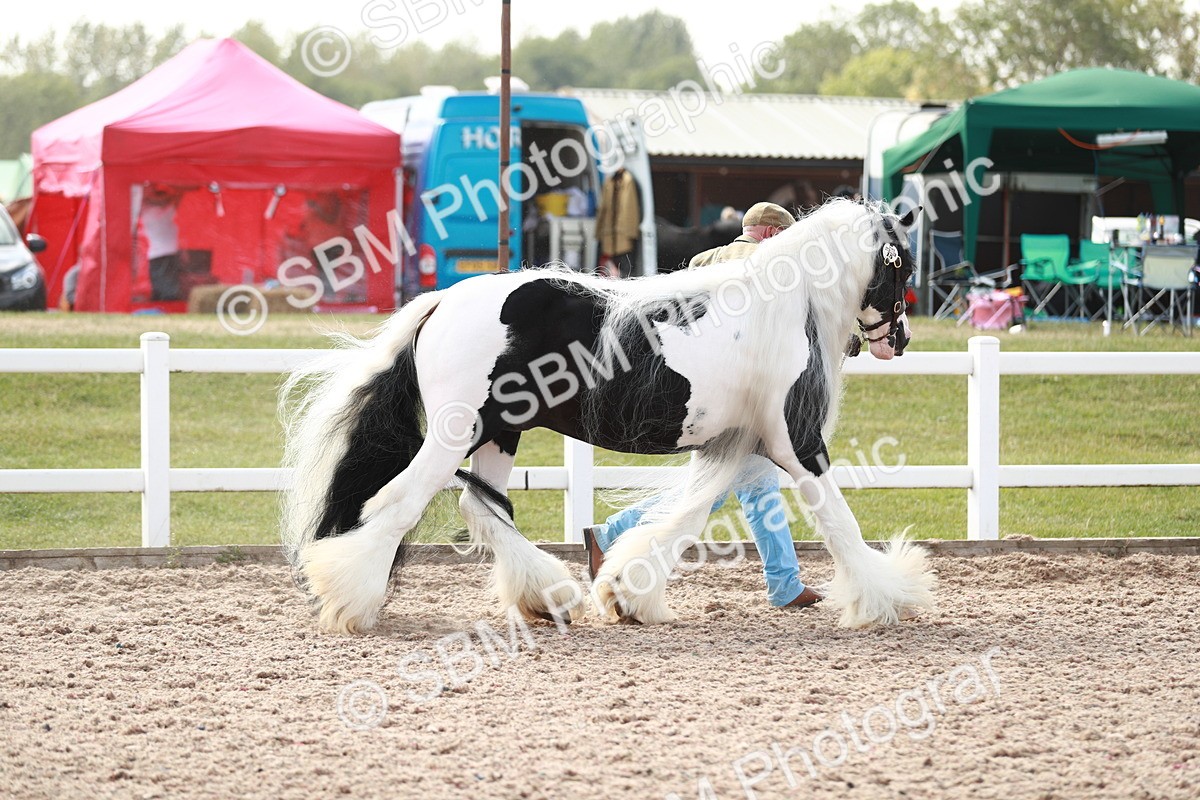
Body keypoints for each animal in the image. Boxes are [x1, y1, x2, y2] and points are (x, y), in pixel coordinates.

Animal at [280, 199, 935, 635]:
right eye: (901, 266)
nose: (901, 340)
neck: (787, 306)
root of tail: (442, 301)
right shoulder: (795, 444)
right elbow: (839, 520)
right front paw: (889, 596)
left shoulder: (733, 445)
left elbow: (684, 517)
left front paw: (626, 593)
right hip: (456, 433)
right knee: (397, 503)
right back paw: (350, 601)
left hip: (500, 432)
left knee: (480, 507)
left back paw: (548, 597)